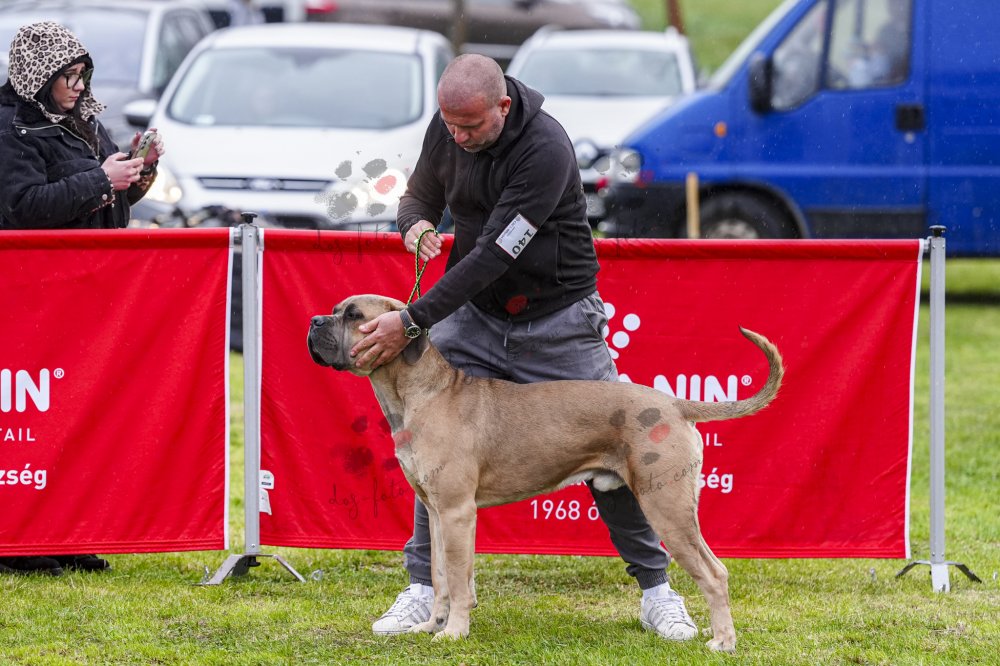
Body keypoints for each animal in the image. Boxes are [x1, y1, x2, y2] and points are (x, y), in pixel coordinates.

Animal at [307, 294, 784, 651]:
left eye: (354, 316)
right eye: (335, 309)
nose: (313, 322)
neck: (421, 392)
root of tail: (673, 403)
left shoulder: (458, 512)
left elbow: (459, 581)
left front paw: (455, 632)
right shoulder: (437, 512)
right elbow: (442, 576)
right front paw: (431, 626)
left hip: (667, 506)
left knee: (714, 573)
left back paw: (722, 642)